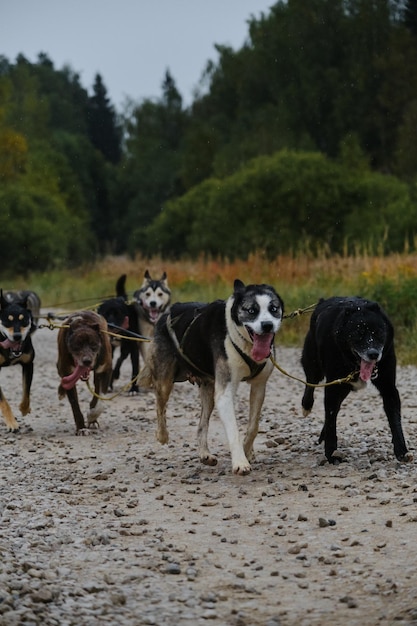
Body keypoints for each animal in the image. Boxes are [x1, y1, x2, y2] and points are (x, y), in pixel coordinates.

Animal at [0, 290, 37, 432]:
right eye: (7, 321)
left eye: (24, 320)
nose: (17, 336)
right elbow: (4, 402)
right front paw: (11, 422)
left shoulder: (28, 364)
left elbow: (26, 392)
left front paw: (24, 408)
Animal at [139, 280, 282, 472]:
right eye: (252, 310)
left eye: (274, 308)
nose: (267, 325)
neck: (242, 340)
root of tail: (167, 313)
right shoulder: (224, 394)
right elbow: (233, 430)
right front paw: (240, 461)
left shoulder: (259, 386)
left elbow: (253, 426)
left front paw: (247, 450)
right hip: (165, 382)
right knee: (160, 407)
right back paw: (162, 434)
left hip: (208, 391)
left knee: (202, 425)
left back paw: (204, 454)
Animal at [300, 294, 412, 460]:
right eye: (359, 334)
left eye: (379, 332)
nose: (373, 354)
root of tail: (322, 301)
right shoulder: (333, 387)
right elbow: (331, 419)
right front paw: (331, 453)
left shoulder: (388, 387)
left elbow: (394, 418)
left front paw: (401, 449)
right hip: (315, 366)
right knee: (310, 384)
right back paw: (306, 406)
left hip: (346, 387)